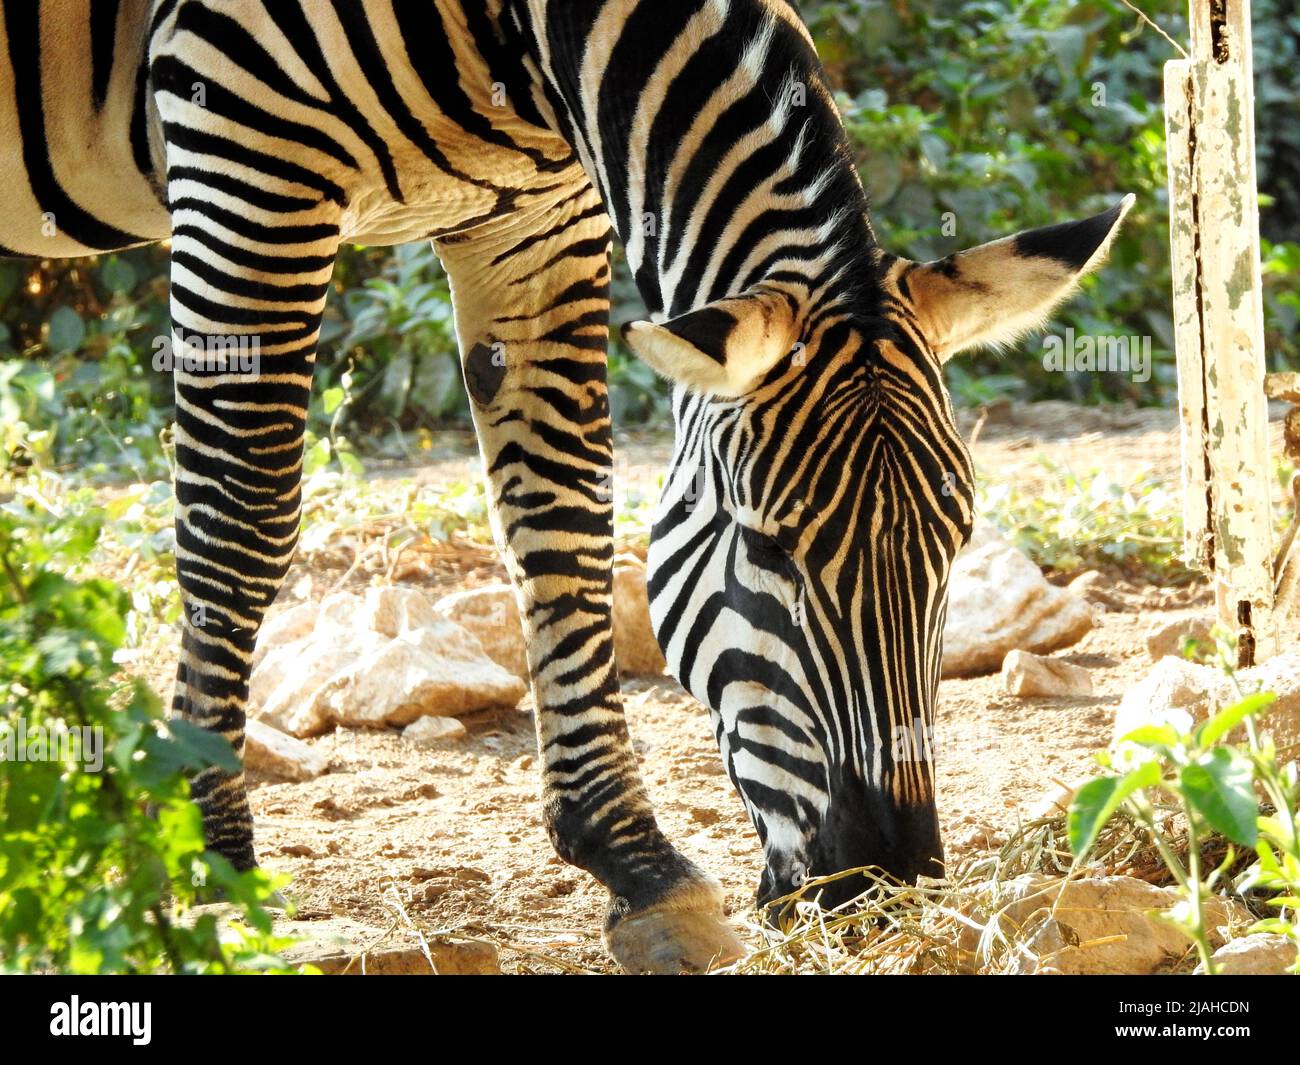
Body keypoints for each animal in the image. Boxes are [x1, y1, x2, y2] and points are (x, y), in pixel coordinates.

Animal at [1, 0, 1131, 972]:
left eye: (955, 546)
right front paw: (215, 859)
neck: (516, 36)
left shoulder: (538, 214)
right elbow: (243, 509)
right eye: (768, 546)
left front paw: (634, 862)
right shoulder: (246, 134)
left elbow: (562, 514)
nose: (884, 888)